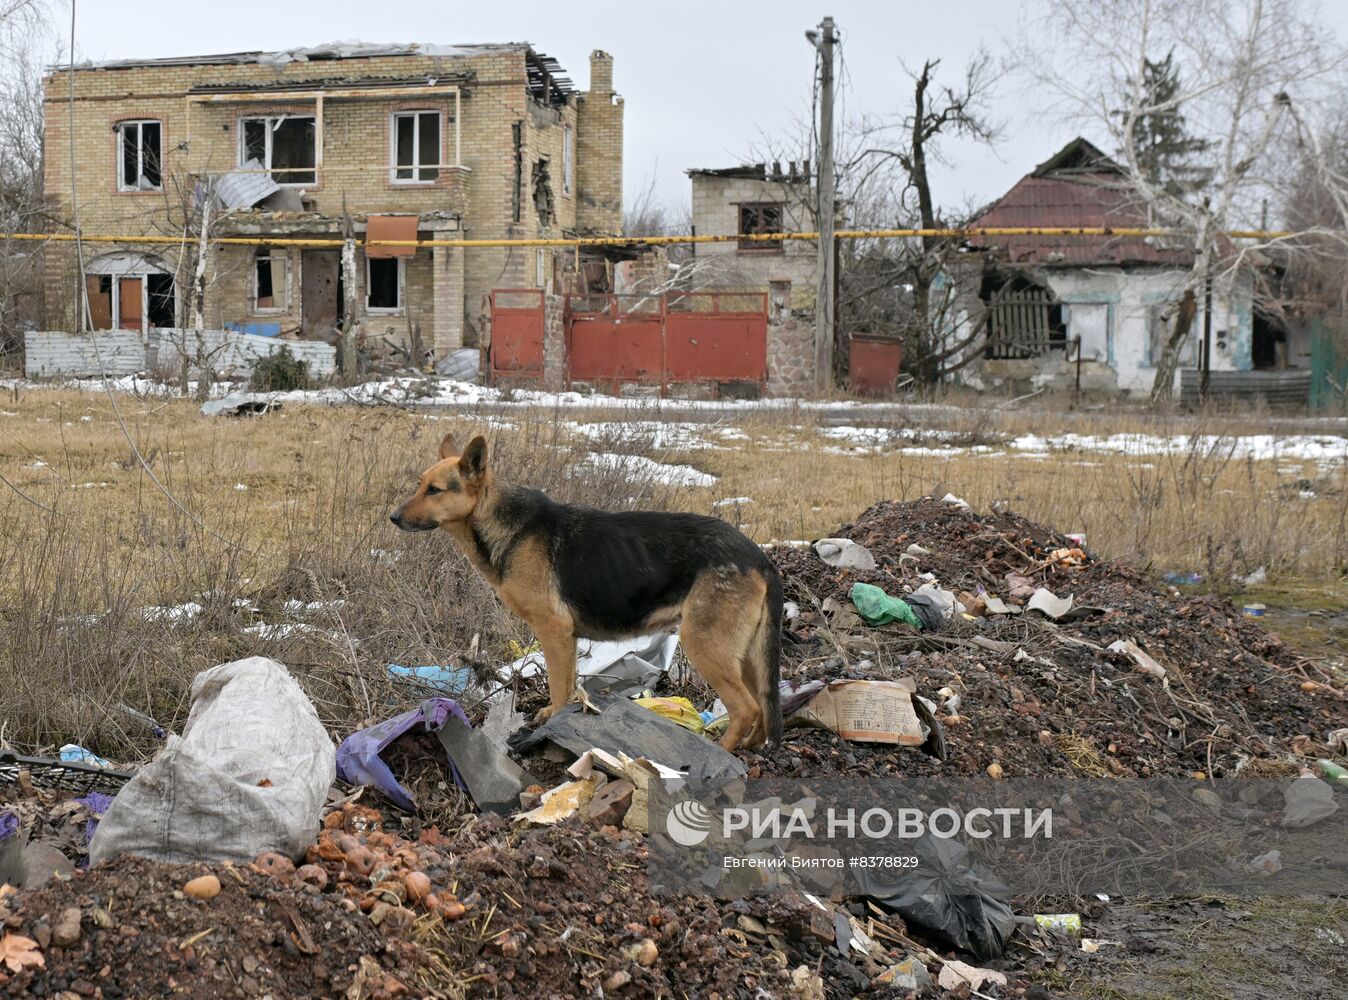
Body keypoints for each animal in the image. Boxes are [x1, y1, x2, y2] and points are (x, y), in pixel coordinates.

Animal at [390, 433, 787, 754]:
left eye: (435, 490)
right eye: (419, 485)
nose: (393, 518)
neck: (501, 523)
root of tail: (758, 557)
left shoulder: (554, 632)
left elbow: (558, 686)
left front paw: (551, 722)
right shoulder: (566, 638)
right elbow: (566, 685)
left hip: (705, 645)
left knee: (747, 708)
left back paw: (721, 750)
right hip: (743, 655)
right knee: (763, 703)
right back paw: (753, 746)